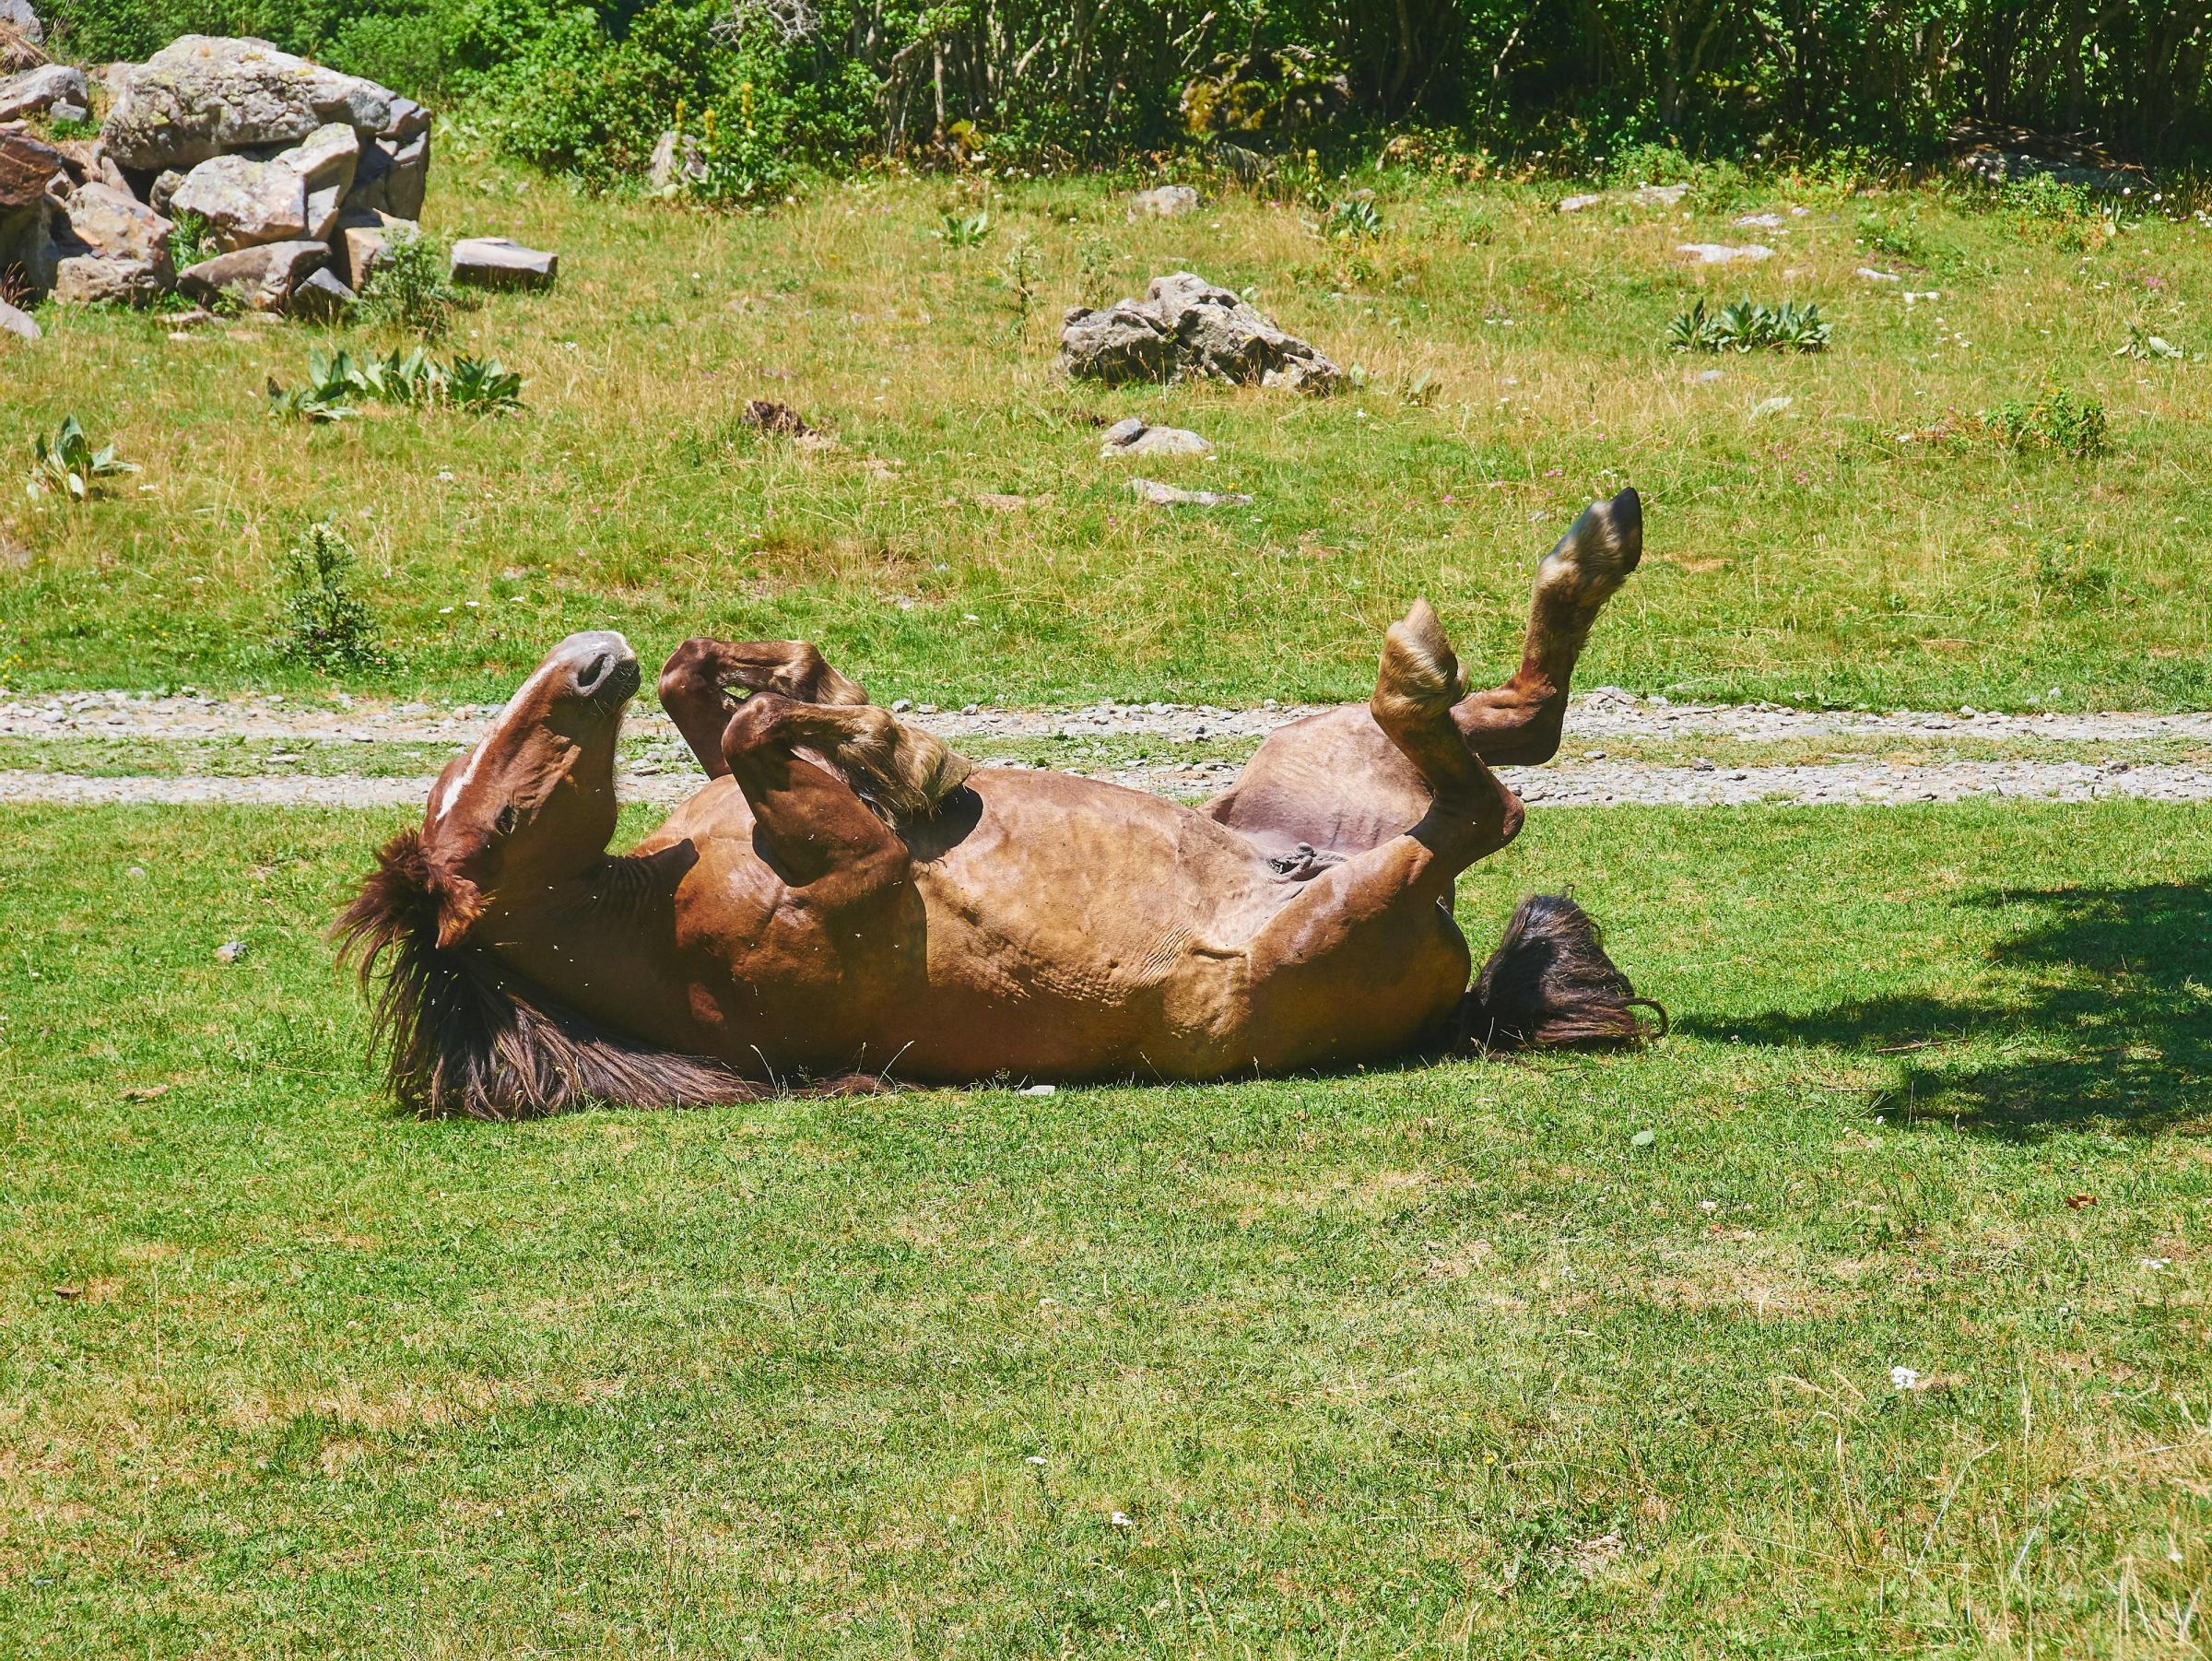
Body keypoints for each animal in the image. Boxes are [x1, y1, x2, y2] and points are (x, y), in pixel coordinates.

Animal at [336, 488, 1659, 1117]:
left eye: (488, 794)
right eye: (498, 826)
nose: (584, 660)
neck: (648, 913)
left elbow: (712, 689)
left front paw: (862, 716)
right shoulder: (861, 878)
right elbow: (766, 734)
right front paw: (911, 754)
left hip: (1317, 758)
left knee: (1519, 720)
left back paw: (1593, 542)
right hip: (1332, 919)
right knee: (1485, 802)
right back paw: (1447, 647)